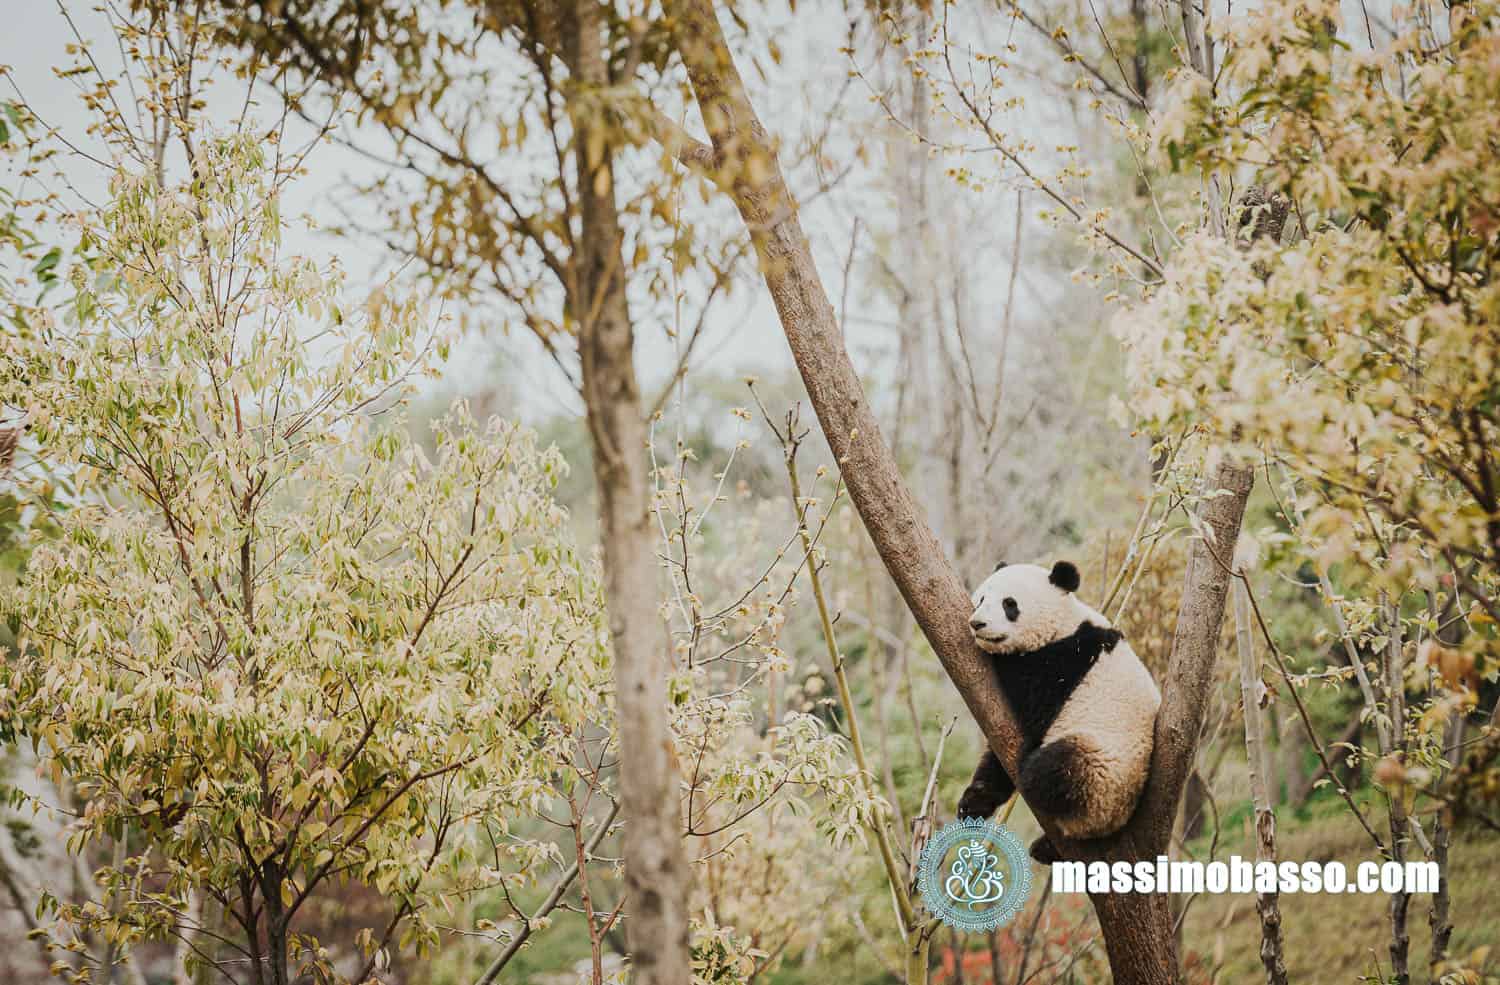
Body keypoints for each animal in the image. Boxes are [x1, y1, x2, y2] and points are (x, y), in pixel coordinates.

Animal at [957, 560, 1160, 863]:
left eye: (1009, 604)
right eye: (981, 599)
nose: (977, 623)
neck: (1064, 623)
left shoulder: (1067, 661)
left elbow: (1028, 683)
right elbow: (996, 758)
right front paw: (973, 801)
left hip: (1104, 770)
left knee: (1053, 770)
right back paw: (1045, 848)